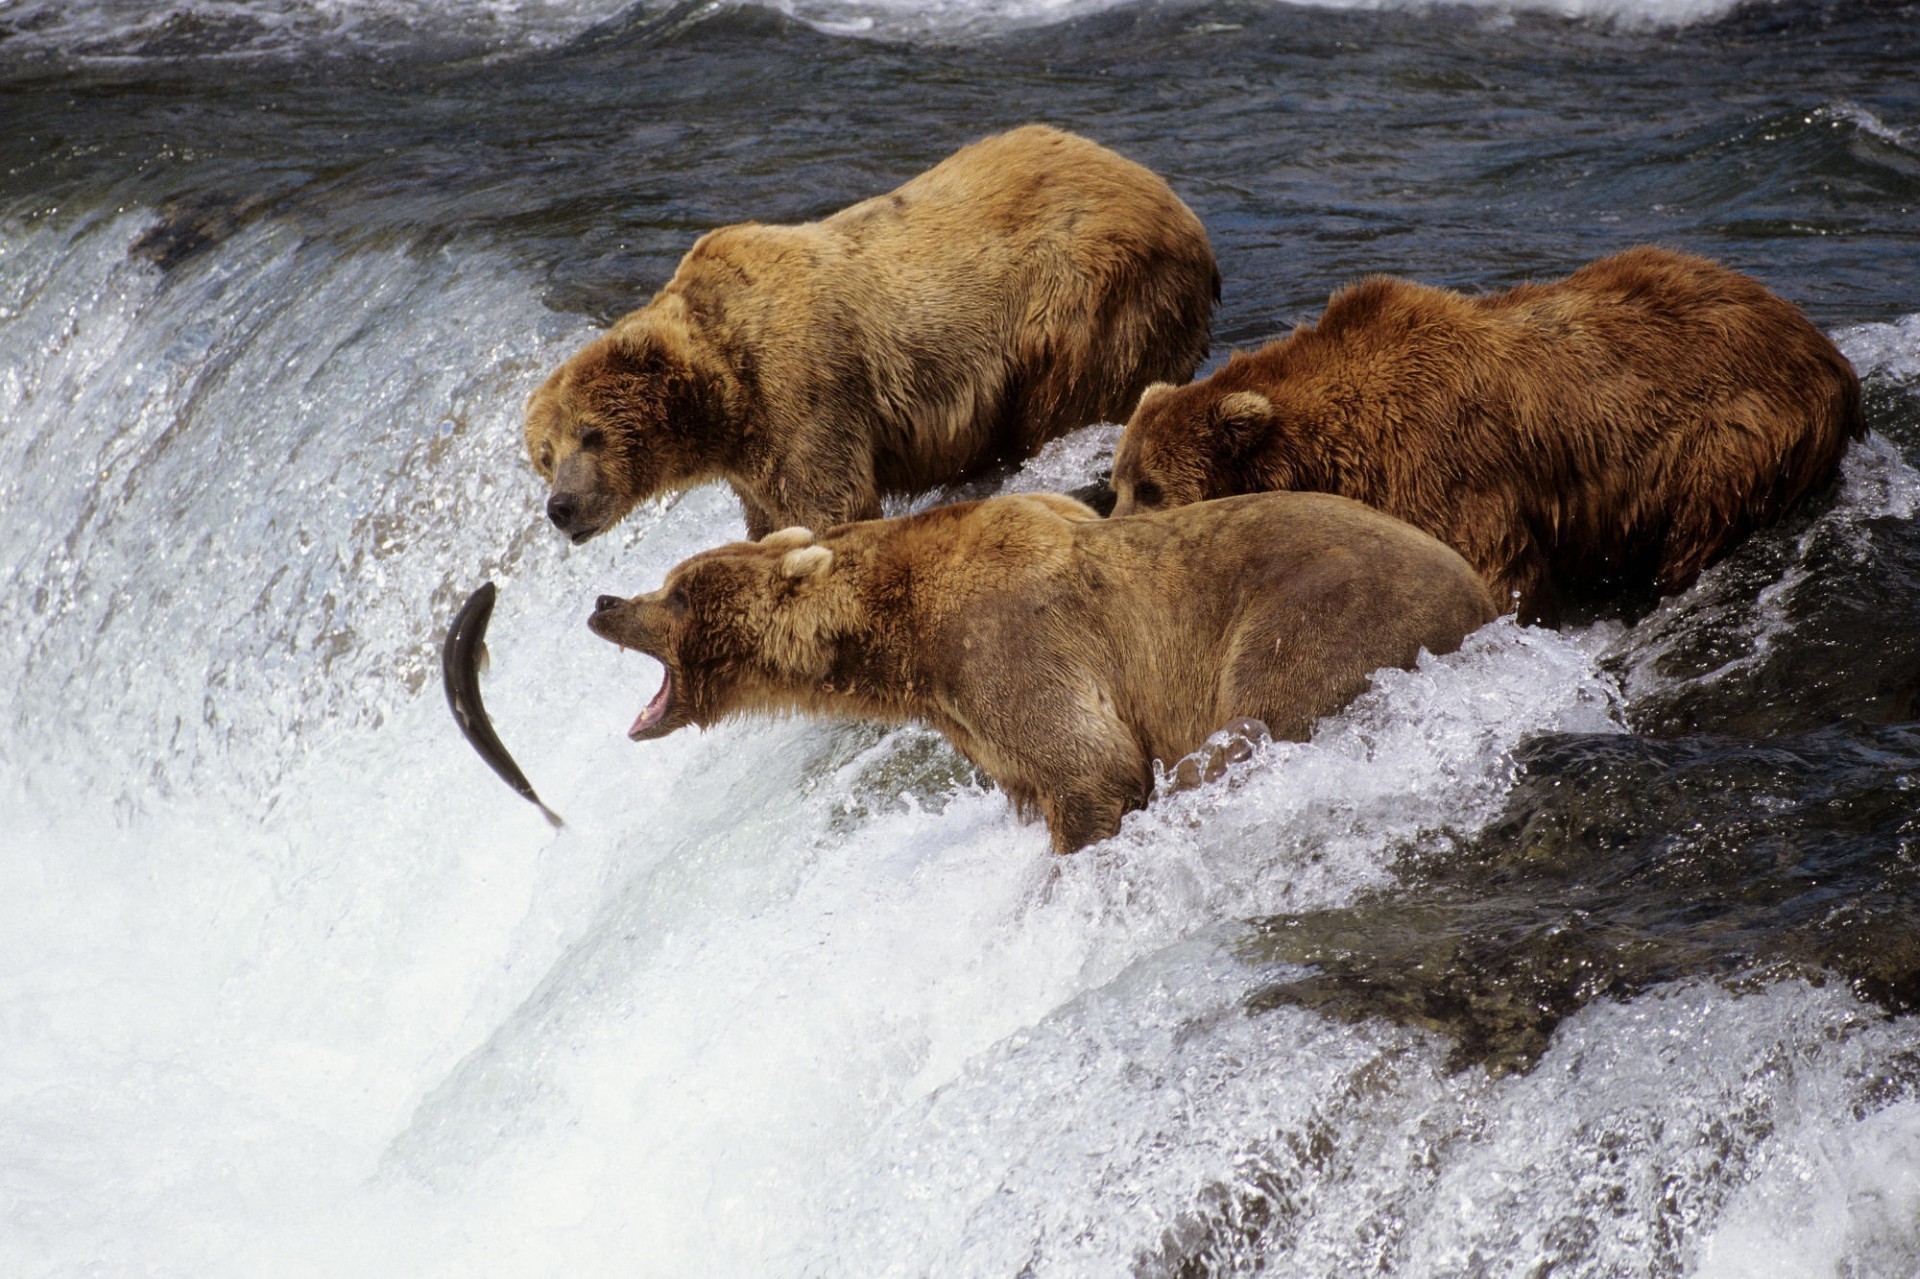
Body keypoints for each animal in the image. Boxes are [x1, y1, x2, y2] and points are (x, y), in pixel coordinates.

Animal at [526, 126, 1213, 545]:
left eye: (591, 433)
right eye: (544, 456)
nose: (560, 507)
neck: (725, 397)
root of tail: (1175, 202)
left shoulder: (803, 391)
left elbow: (829, 506)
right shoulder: (752, 459)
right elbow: (769, 518)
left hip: (1084, 299)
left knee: (1068, 400)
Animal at [587, 491, 1497, 852]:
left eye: (676, 590)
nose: (603, 600)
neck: (901, 636)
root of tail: (1484, 594)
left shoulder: (1010, 642)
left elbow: (1091, 762)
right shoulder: (972, 714)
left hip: (1316, 617)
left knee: (1251, 720)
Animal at [1105, 244, 1866, 618]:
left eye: (1152, 488)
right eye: (1118, 483)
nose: (1111, 534)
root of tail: (1829, 352)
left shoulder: (1443, 468)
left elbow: (1494, 573)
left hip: (1731, 436)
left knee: (1700, 525)